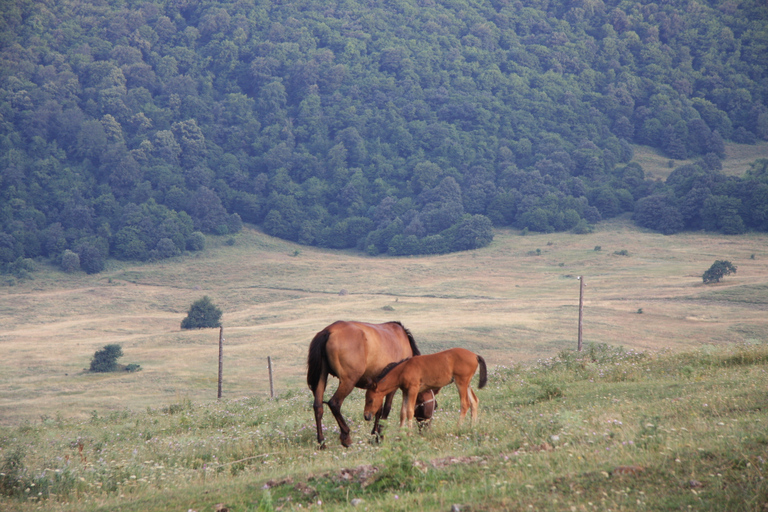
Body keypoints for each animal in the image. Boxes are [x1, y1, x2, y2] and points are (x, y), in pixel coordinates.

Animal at [308, 320, 438, 448]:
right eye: (434, 406)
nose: (427, 430)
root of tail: (328, 331)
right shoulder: (391, 386)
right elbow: (386, 409)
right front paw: (379, 436)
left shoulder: (377, 389)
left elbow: (377, 409)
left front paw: (374, 434)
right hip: (348, 381)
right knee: (334, 403)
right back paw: (346, 437)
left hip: (322, 376)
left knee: (318, 407)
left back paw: (321, 442)